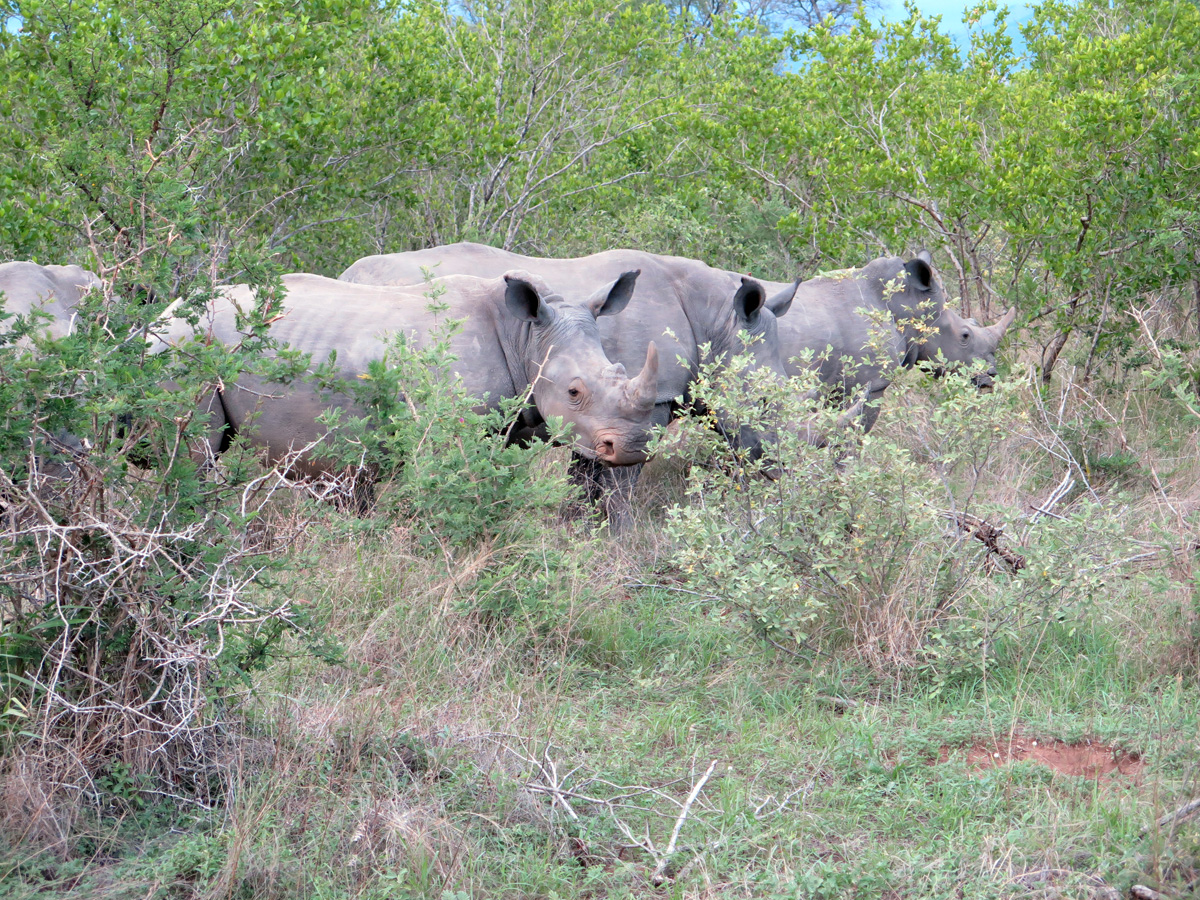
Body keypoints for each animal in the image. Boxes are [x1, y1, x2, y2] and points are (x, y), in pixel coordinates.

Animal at [155, 270, 659, 475]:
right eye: (574, 392)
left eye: (620, 368)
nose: (633, 447)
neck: (527, 336)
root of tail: (160, 316)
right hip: (181, 350)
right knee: (196, 459)